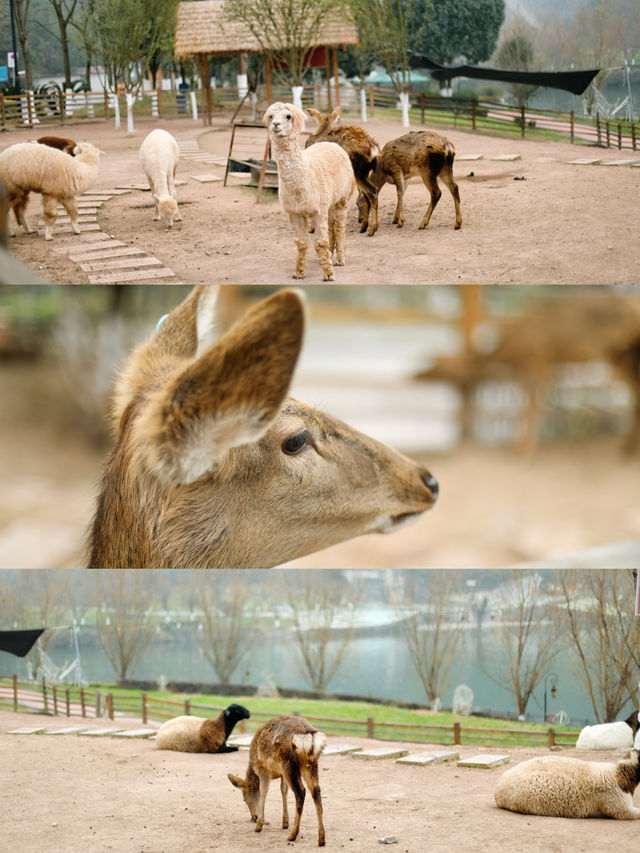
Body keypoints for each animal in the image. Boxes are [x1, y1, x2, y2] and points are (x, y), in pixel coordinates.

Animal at [229, 712, 328, 844]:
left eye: (244, 799)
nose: (253, 816)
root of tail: (307, 735)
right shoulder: (281, 774)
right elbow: (283, 791)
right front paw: (285, 823)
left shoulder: (263, 769)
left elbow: (263, 791)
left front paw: (259, 825)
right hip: (310, 764)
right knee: (316, 791)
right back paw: (321, 839)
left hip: (288, 763)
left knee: (300, 792)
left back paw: (293, 835)